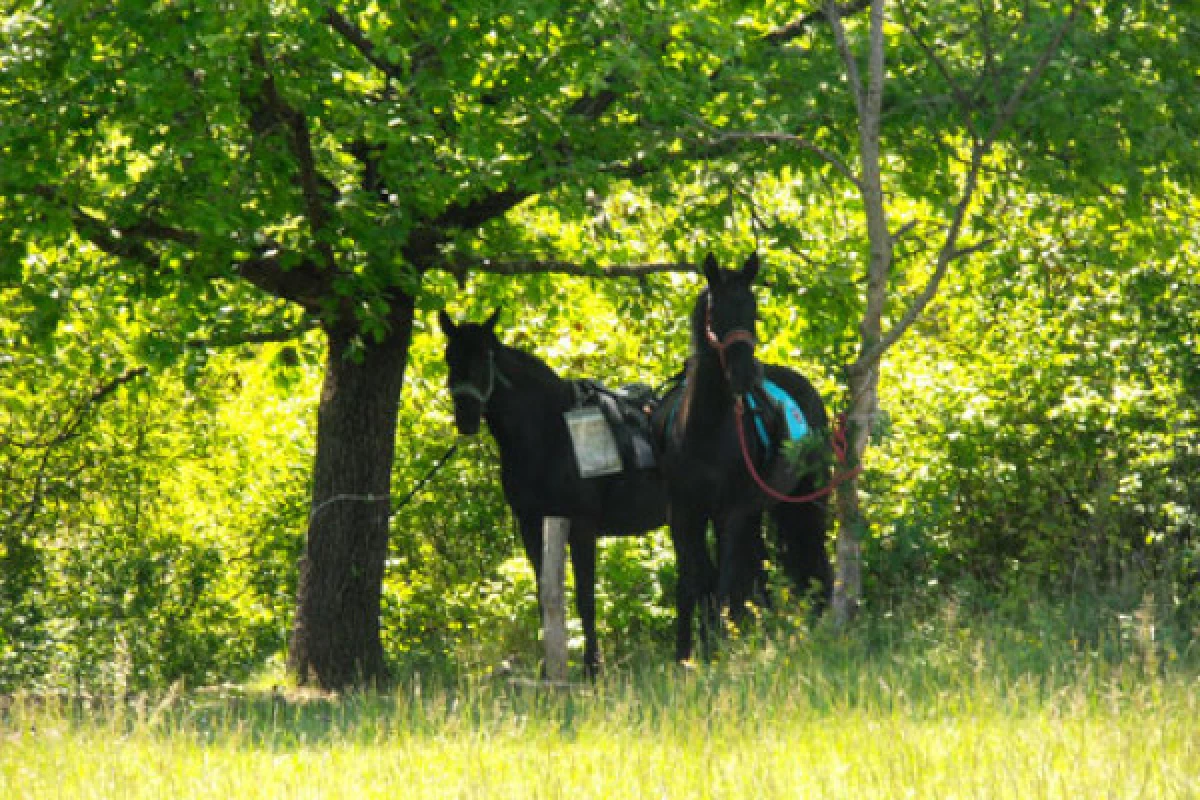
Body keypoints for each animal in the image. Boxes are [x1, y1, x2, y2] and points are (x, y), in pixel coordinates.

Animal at [439, 311, 667, 676]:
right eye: (449, 356)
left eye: (485, 356)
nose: (466, 417)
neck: (551, 433)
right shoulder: (532, 526)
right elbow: (543, 595)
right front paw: (548, 669)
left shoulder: (582, 526)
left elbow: (586, 598)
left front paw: (592, 668)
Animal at [657, 253, 835, 662]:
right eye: (715, 312)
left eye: (753, 309)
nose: (744, 374)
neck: (702, 430)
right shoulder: (684, 515)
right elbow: (693, 581)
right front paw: (686, 654)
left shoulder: (730, 513)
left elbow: (724, 582)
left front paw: (717, 648)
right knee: (762, 567)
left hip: (805, 500)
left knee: (811, 554)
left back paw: (820, 619)